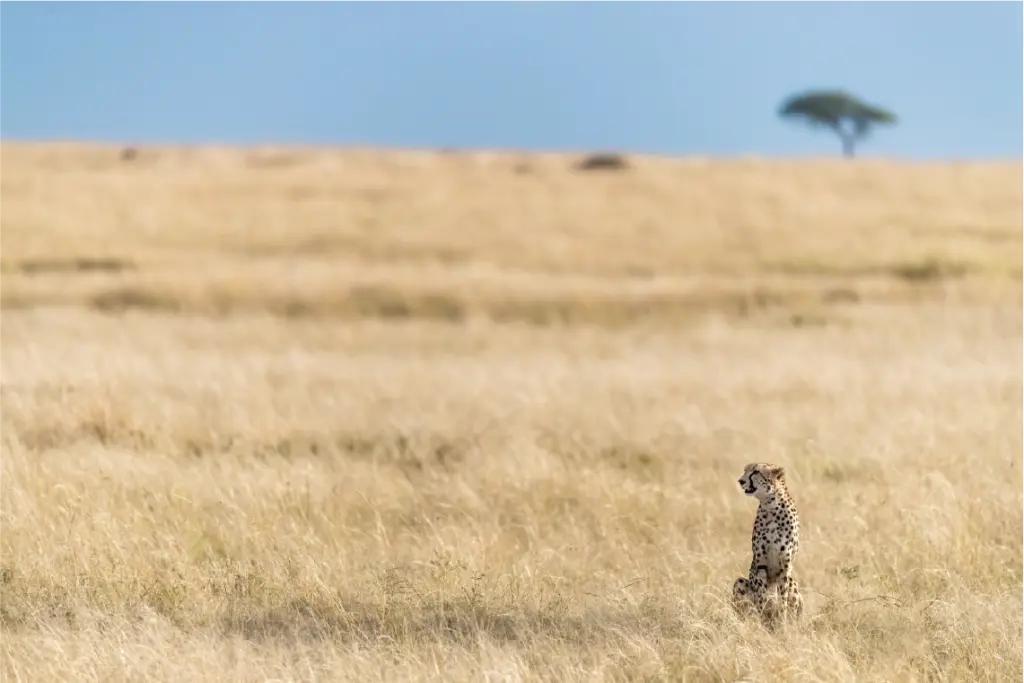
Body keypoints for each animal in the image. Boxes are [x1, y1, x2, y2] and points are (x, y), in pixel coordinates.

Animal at [731, 462, 803, 628]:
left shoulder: (785, 565)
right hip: (739, 582)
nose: (740, 481)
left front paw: (781, 623)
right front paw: (766, 618)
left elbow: (782, 600)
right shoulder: (760, 563)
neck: (771, 507)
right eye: (745, 470)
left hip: (793, 583)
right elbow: (762, 598)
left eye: (756, 472)